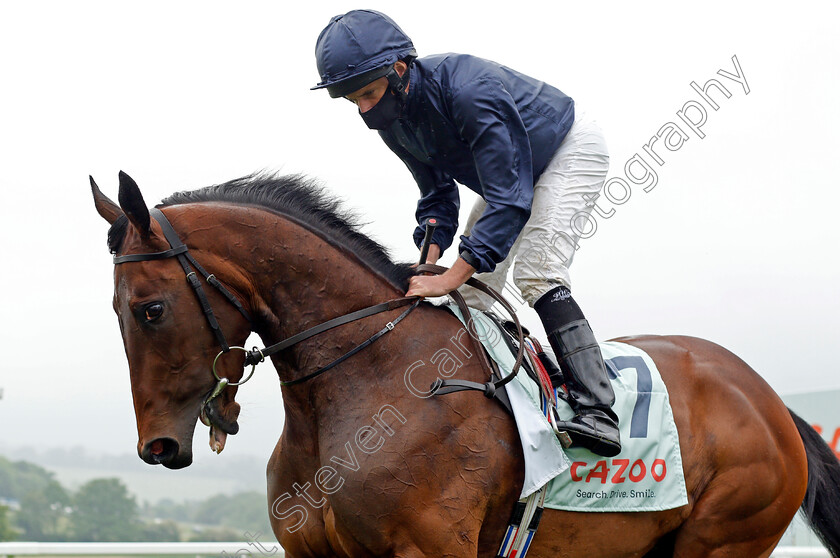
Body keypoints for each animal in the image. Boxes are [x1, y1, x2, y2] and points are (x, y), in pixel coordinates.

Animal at [90, 172, 840, 558]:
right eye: (116, 308)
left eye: (150, 309)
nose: (158, 446)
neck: (364, 381)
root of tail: (768, 399)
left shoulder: (433, 550)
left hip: (726, 534)